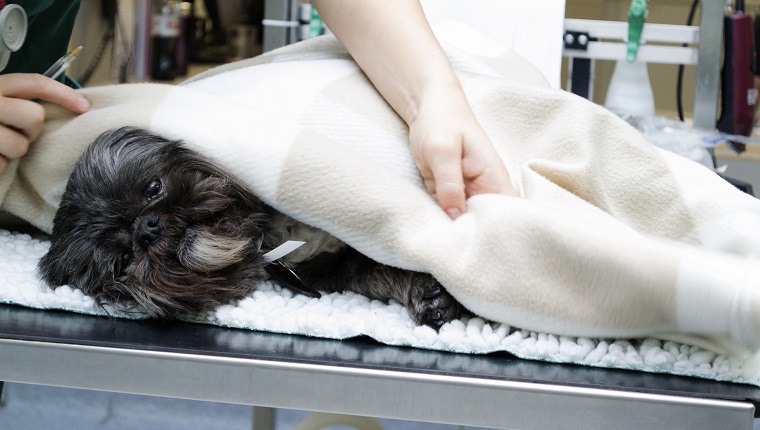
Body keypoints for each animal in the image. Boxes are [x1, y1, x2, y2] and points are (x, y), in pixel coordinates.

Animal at [38, 126, 464, 328]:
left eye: (153, 187)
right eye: (124, 259)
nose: (147, 228)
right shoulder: (338, 269)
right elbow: (378, 272)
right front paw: (427, 294)